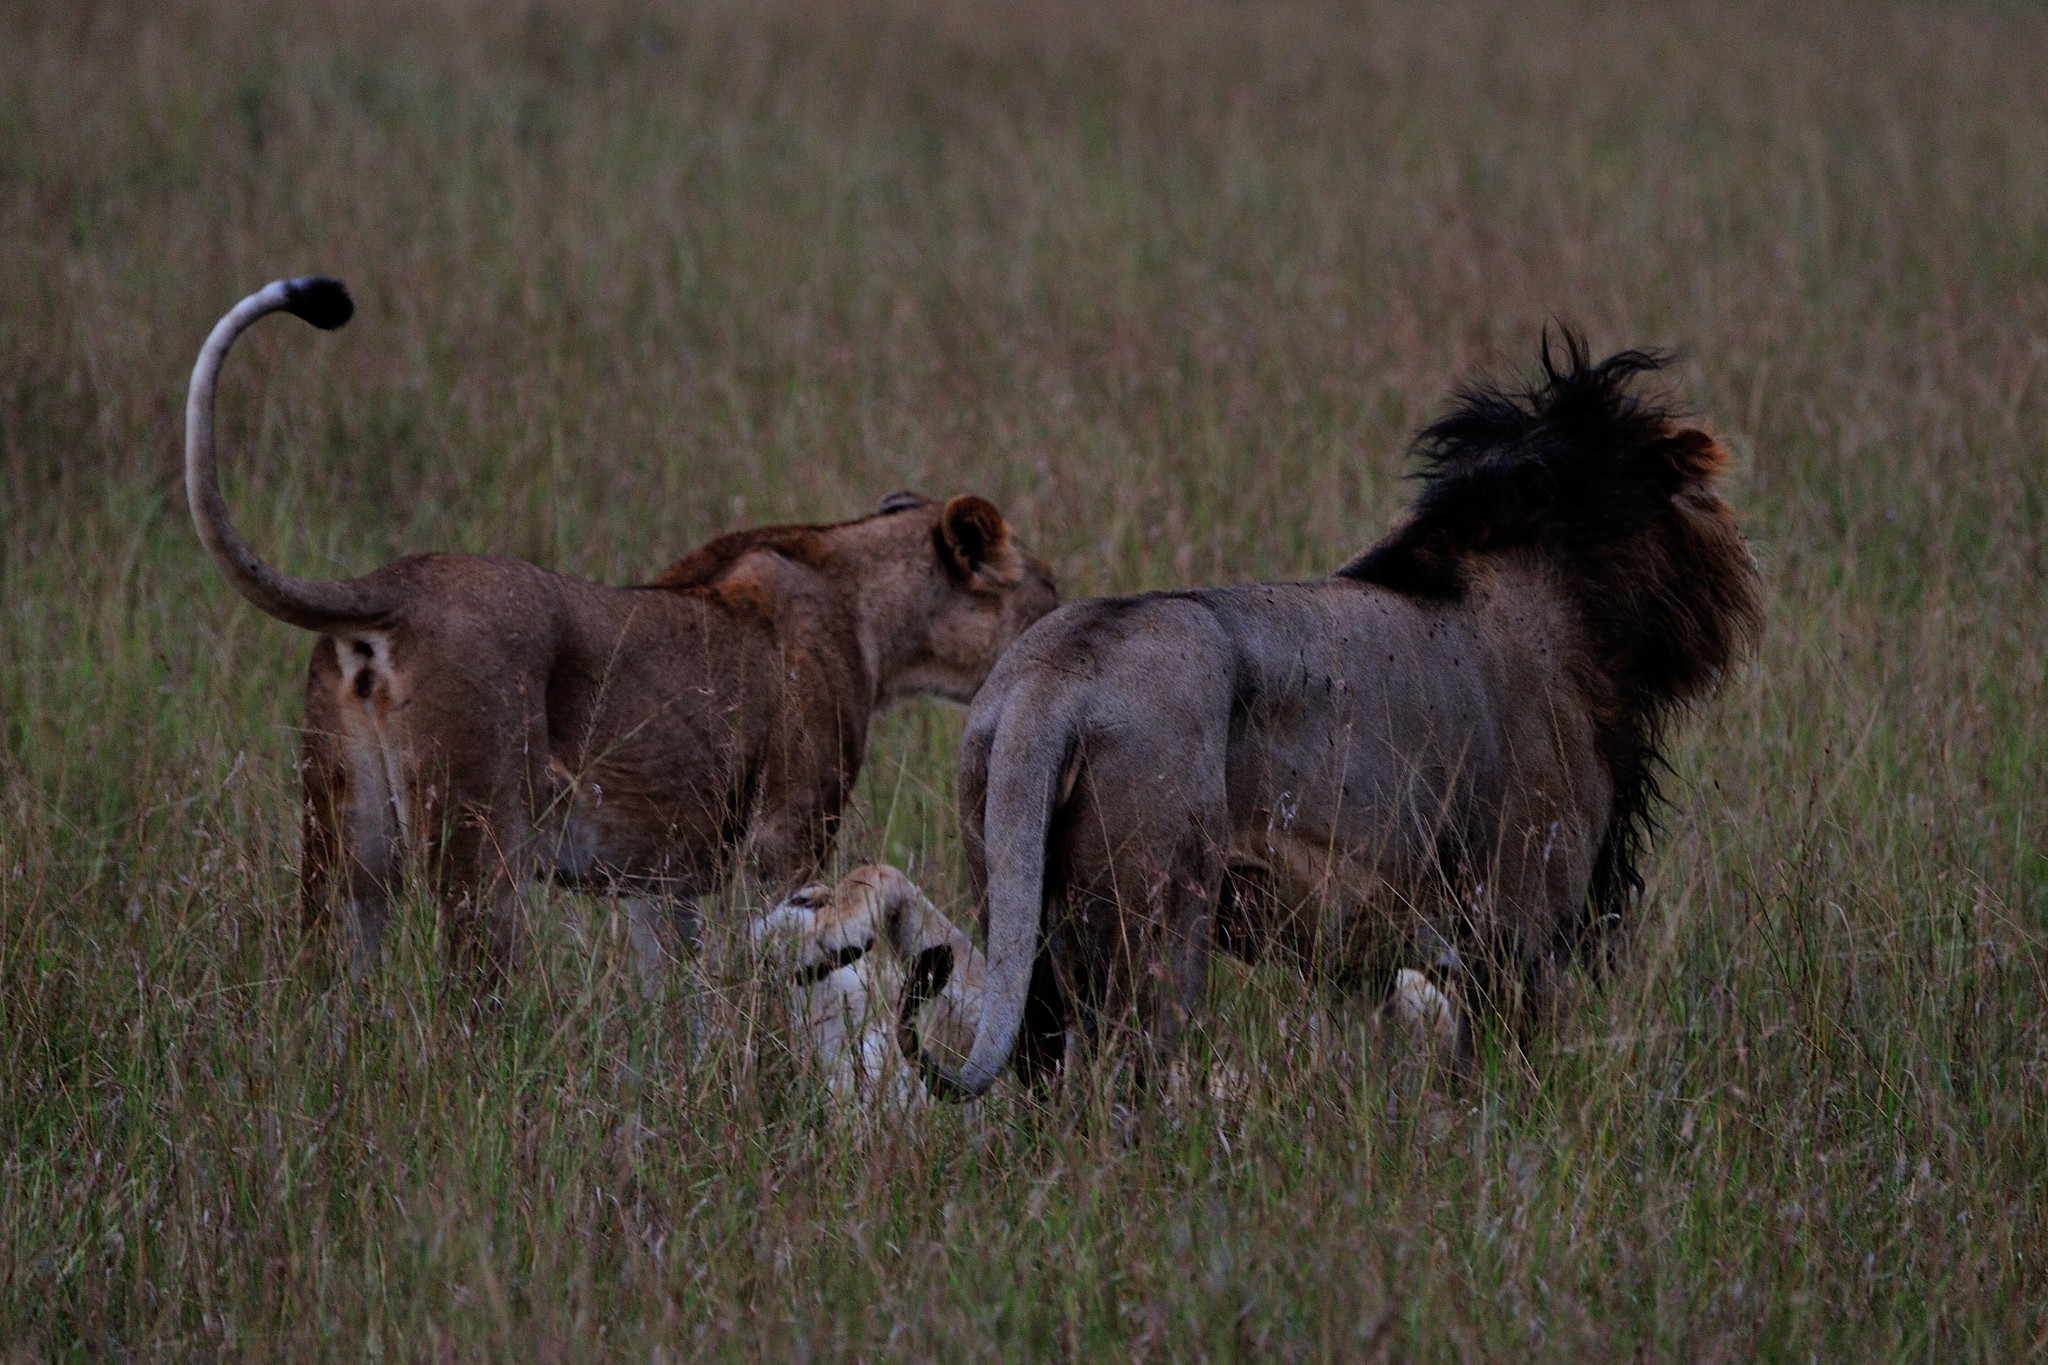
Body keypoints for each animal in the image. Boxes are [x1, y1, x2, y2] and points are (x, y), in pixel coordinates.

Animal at [180, 278, 1056, 994]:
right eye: (1047, 595)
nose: (1062, 621)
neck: (862, 593)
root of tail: (389, 586)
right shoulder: (784, 839)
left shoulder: (659, 878)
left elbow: (677, 999)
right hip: (480, 845)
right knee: (470, 1003)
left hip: (342, 844)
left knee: (326, 986)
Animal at [921, 333, 1769, 1096]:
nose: (1748, 560)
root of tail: (1051, 681)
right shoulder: (1523, 932)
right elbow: (1499, 1083)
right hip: (1159, 928)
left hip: (1016, 915)